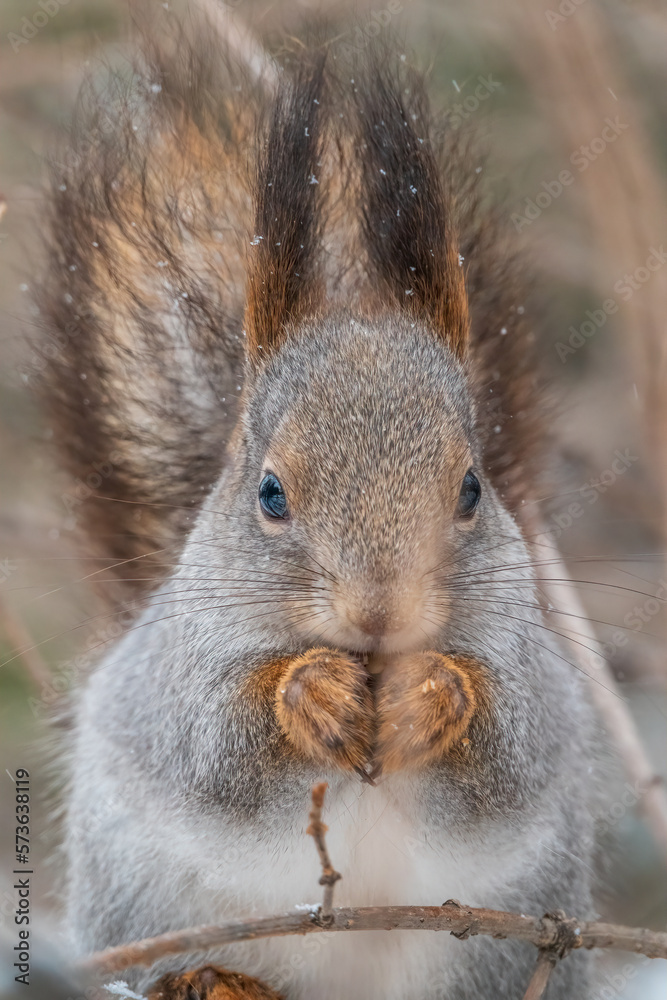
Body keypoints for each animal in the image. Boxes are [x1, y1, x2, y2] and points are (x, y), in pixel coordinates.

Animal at [38, 16, 596, 1000]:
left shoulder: (532, 675)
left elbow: (509, 744)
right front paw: (313, 694)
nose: (380, 613)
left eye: (470, 488)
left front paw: (429, 694)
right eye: (269, 494)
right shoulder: (177, 676)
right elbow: (215, 741)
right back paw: (210, 978)